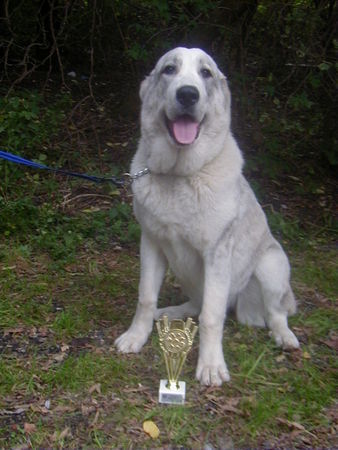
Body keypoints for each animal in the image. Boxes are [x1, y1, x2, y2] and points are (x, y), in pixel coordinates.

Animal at [115, 48, 300, 386]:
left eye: (206, 73)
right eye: (169, 69)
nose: (188, 94)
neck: (180, 175)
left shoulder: (217, 254)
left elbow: (212, 316)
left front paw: (211, 365)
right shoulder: (151, 244)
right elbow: (145, 297)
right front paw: (136, 336)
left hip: (271, 264)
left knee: (275, 312)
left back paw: (284, 336)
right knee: (196, 303)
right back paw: (171, 312)